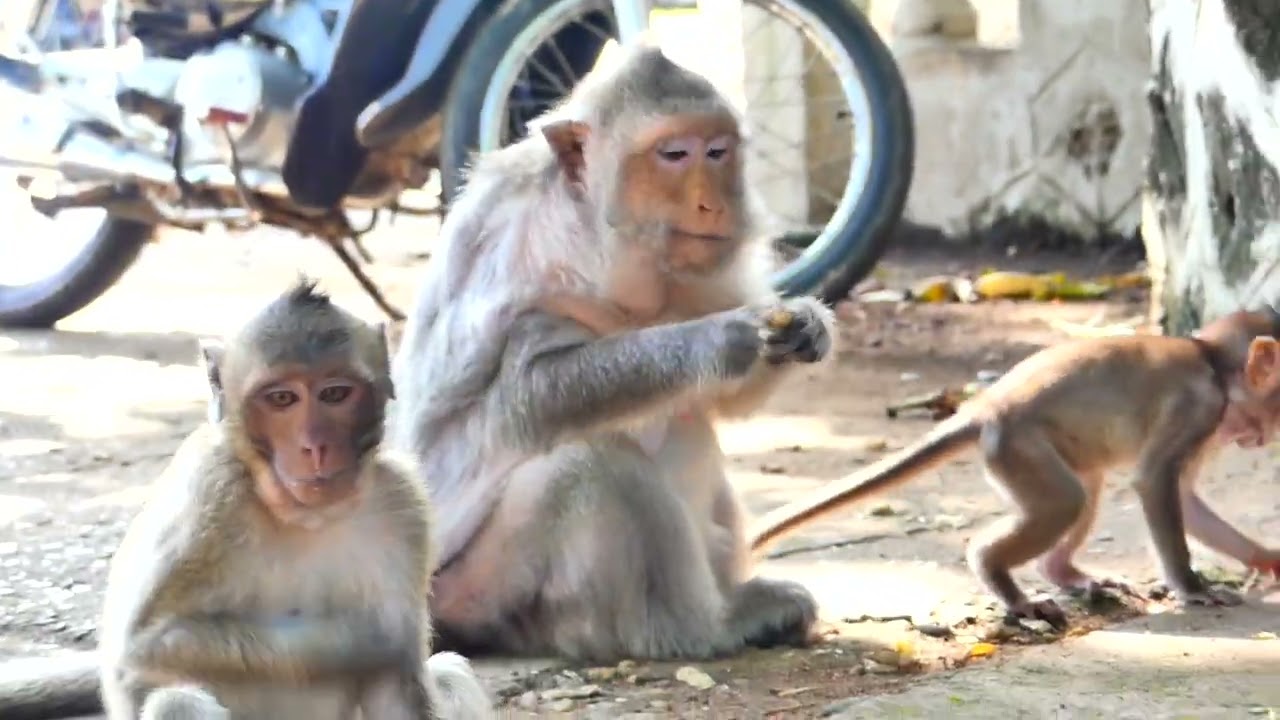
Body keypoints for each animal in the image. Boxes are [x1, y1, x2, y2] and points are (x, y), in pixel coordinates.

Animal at [0, 278, 493, 720]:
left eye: (335, 393)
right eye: (282, 398)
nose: (315, 446)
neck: (302, 517)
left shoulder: (403, 504)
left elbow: (399, 688)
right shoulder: (207, 494)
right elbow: (141, 647)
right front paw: (371, 638)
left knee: (450, 675)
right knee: (177, 701)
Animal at [388, 42, 836, 663]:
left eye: (717, 151)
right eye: (674, 154)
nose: (712, 204)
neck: (605, 241)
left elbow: (723, 398)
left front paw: (807, 326)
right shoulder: (524, 250)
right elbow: (526, 394)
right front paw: (721, 338)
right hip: (476, 586)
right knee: (590, 465)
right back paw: (703, 627)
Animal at [747, 306, 1280, 626]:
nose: (1265, 438)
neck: (1211, 363)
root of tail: (985, 406)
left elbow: (1184, 498)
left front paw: (1266, 558)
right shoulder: (1198, 408)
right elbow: (1155, 482)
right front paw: (1192, 588)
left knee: (1086, 486)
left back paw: (1063, 572)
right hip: (1017, 445)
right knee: (1068, 499)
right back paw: (1009, 586)